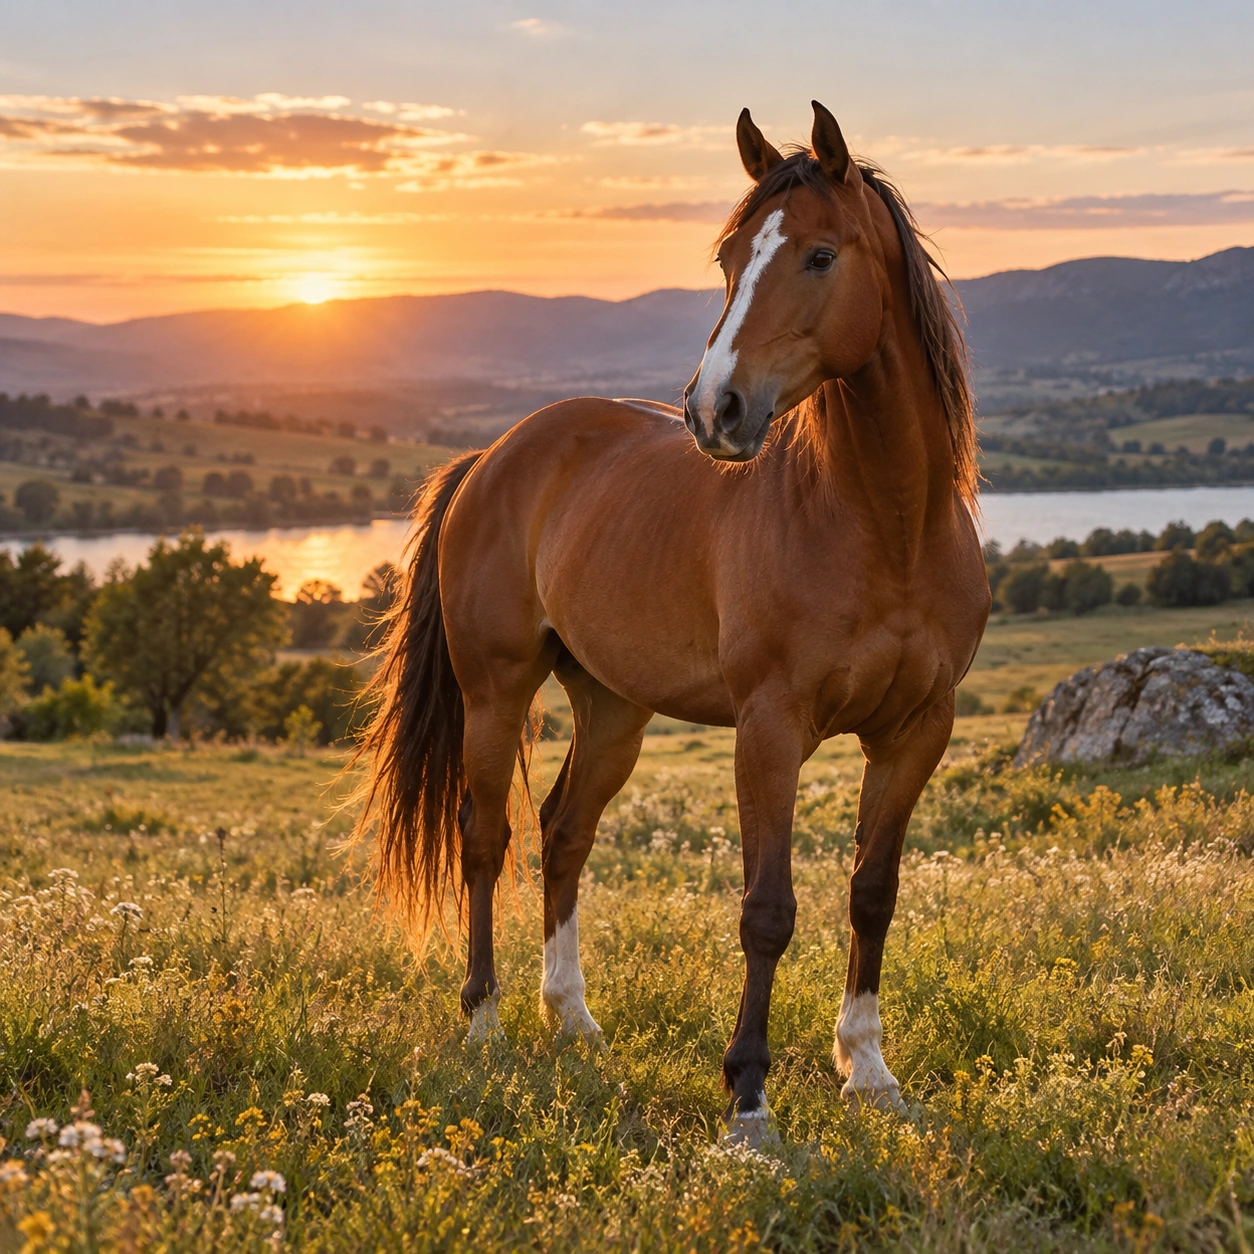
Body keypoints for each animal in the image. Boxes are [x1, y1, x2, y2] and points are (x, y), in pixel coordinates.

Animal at [355, 100, 990, 1142]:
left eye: (820, 256)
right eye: (730, 257)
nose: (713, 410)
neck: (885, 523)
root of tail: (497, 453)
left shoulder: (916, 731)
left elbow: (873, 892)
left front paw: (867, 1070)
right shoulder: (769, 730)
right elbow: (767, 910)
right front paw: (748, 1100)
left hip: (613, 707)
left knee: (564, 831)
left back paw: (572, 1019)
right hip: (497, 692)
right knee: (485, 837)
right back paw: (485, 1024)